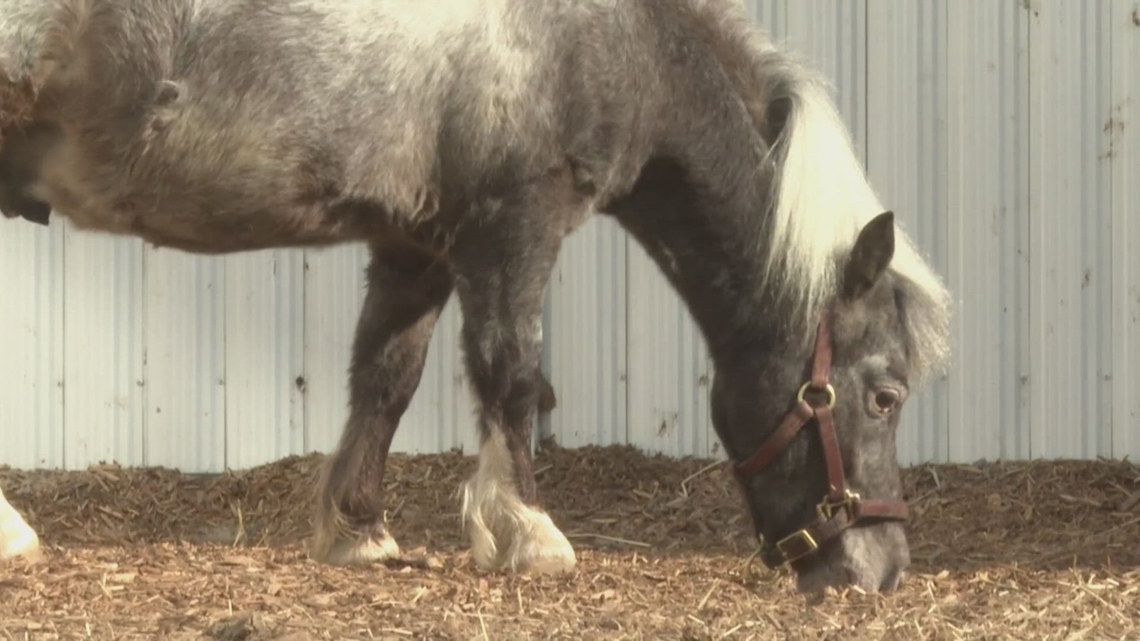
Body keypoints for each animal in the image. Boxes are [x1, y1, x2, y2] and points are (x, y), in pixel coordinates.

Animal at [0, 0, 952, 594]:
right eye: (885, 393)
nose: (883, 570)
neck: (602, 40)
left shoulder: (416, 244)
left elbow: (387, 376)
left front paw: (359, 530)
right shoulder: (514, 224)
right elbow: (511, 371)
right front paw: (530, 532)